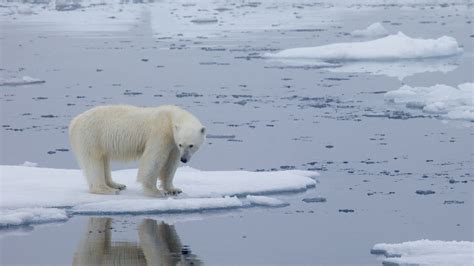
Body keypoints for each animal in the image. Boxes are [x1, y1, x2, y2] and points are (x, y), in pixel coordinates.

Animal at [69, 105, 206, 196]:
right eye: (182, 144)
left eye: (191, 145)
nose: (184, 159)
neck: (170, 117)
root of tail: (74, 122)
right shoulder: (160, 134)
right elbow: (153, 159)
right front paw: (156, 191)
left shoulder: (173, 144)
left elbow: (170, 164)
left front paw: (173, 189)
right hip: (91, 136)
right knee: (93, 161)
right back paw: (106, 189)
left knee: (104, 160)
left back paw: (117, 184)